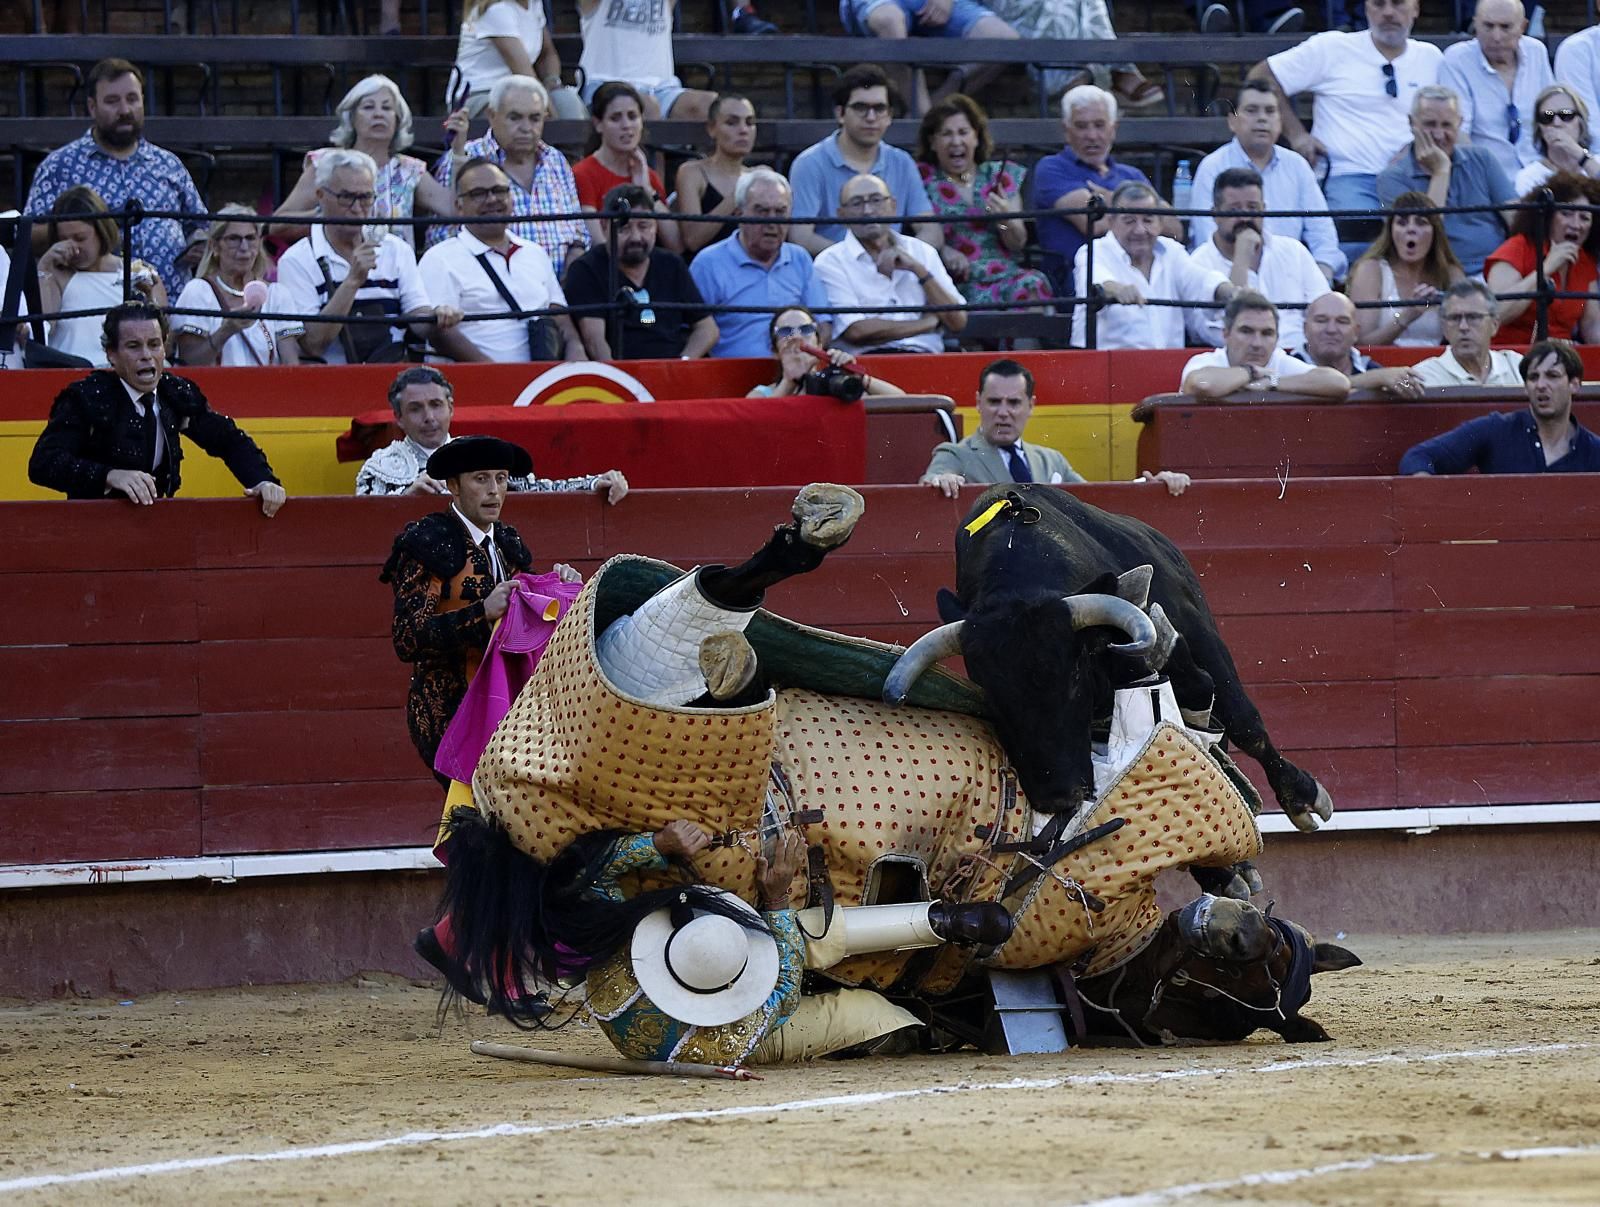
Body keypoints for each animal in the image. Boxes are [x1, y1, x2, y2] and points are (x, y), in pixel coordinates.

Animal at [883, 480, 1331, 826]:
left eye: (1074, 676)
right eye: (989, 693)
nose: (1059, 796)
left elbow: (1217, 704)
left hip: (1206, 635)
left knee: (1242, 719)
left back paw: (1301, 796)